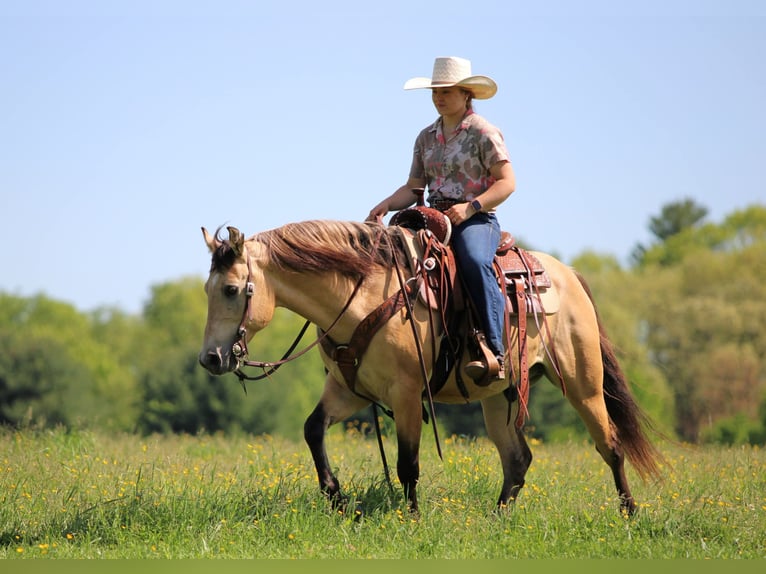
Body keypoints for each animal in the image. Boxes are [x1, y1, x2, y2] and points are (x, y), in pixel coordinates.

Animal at [198, 220, 664, 515]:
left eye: (232, 289)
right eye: (207, 288)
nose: (210, 358)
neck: (360, 296)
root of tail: (569, 275)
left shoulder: (405, 395)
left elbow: (408, 464)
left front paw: (411, 519)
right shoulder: (348, 390)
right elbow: (314, 430)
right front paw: (337, 499)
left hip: (583, 385)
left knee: (611, 445)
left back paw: (629, 515)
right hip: (501, 397)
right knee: (517, 459)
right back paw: (496, 520)